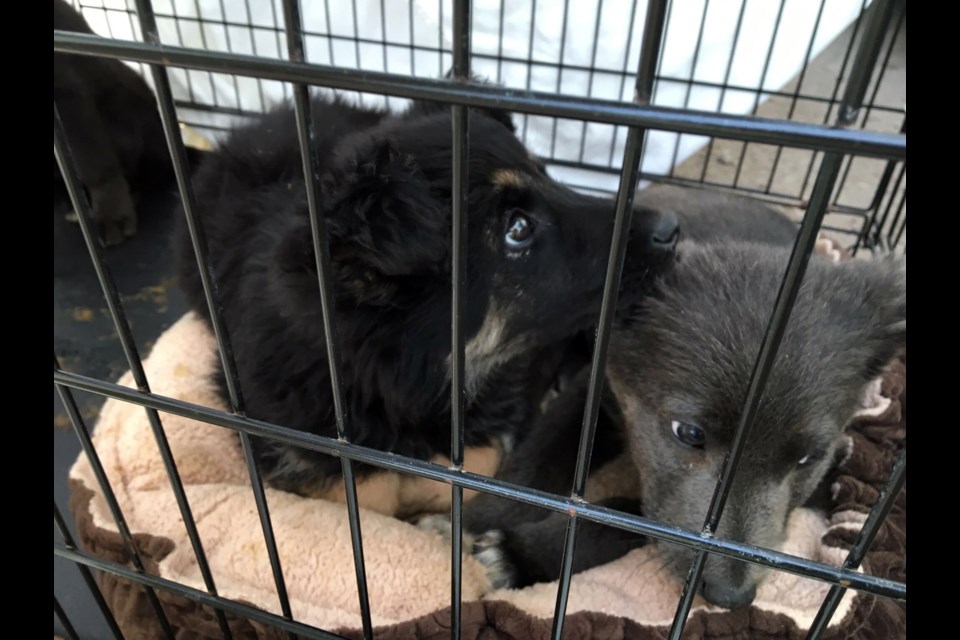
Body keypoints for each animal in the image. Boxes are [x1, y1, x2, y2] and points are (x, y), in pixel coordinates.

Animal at [176, 94, 680, 510]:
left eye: (547, 173)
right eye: (517, 228)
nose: (671, 228)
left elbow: (468, 470)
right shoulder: (280, 426)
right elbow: (366, 490)